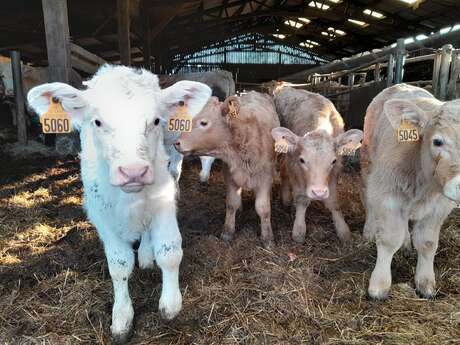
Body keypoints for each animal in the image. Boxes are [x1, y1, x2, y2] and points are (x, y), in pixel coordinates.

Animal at [27, 64, 210, 342]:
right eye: (98, 122)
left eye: (156, 120)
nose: (133, 171)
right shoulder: (100, 212)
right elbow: (119, 264)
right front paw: (122, 317)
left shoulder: (163, 198)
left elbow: (169, 252)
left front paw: (170, 304)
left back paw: (146, 254)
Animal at [174, 91, 278, 247]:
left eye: (203, 123)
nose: (177, 143)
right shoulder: (229, 175)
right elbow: (231, 203)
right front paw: (227, 232)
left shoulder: (265, 177)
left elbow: (263, 208)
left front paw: (268, 238)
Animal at [272, 87, 362, 243]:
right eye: (302, 160)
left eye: (333, 161)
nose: (318, 193)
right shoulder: (295, 165)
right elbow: (302, 200)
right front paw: (299, 230)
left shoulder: (336, 170)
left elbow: (333, 201)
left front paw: (343, 230)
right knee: (283, 170)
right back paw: (286, 199)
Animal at [362, 82, 460, 298]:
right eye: (437, 141)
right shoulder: (387, 194)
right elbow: (389, 239)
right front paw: (379, 285)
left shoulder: (440, 206)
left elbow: (428, 243)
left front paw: (425, 283)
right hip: (368, 163)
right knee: (368, 199)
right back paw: (368, 231)